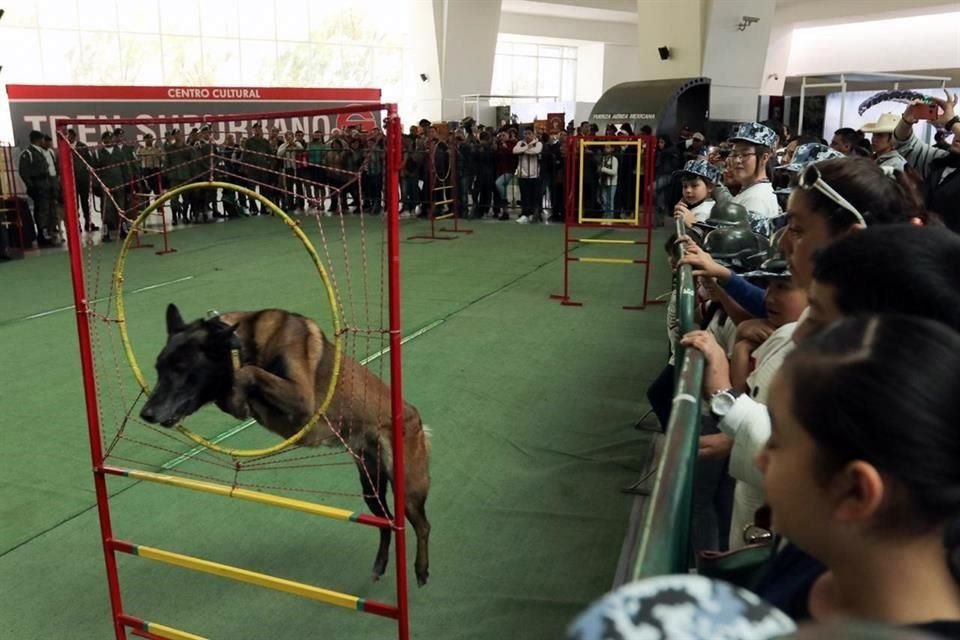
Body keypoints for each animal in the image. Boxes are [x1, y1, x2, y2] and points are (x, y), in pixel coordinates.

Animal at [138, 302, 432, 588]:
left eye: (181, 369)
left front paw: (238, 382)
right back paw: (380, 565)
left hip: (408, 488)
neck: (244, 345)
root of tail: (414, 416)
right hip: (371, 488)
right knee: (386, 523)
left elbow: (247, 373)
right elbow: (239, 391)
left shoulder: (301, 400)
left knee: (422, 526)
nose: (146, 413)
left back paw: (421, 569)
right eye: (159, 368)